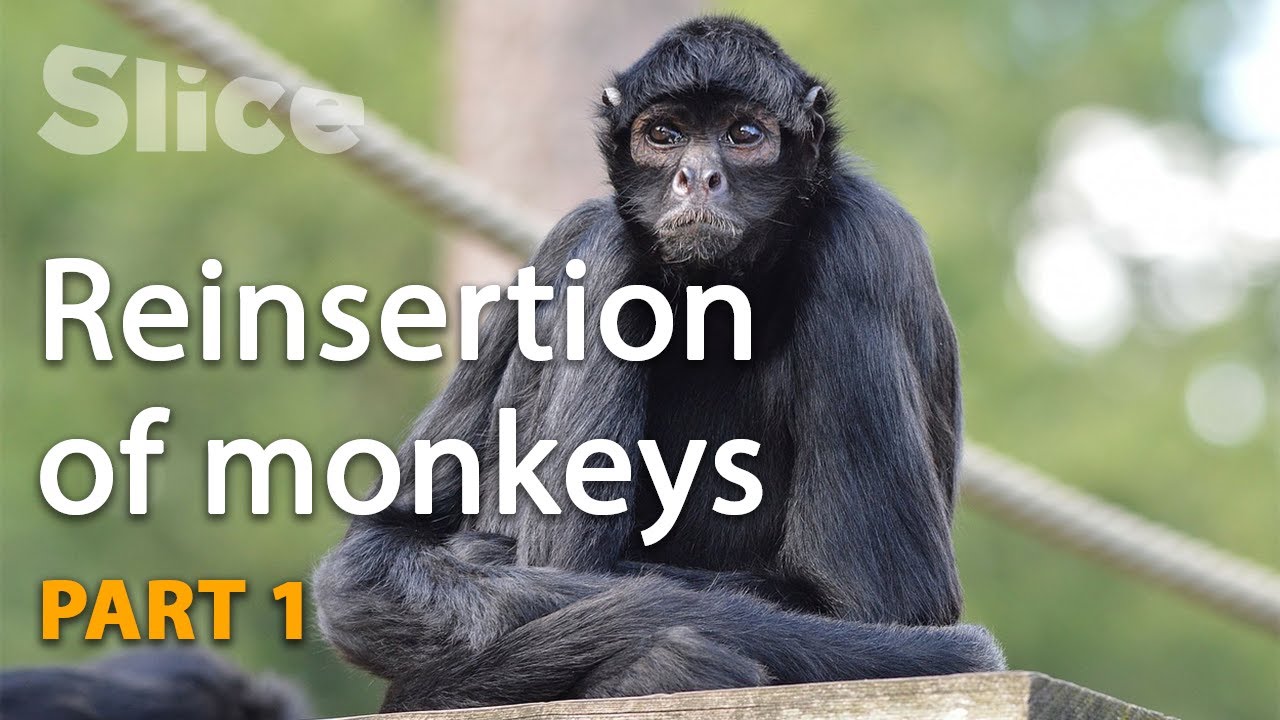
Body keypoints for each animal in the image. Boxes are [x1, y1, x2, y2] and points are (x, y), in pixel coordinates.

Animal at [313, 16, 1005, 712]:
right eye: (665, 135)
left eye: (744, 134)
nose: (696, 176)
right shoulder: (566, 234)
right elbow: (370, 561)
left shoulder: (863, 248)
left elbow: (883, 602)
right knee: (610, 247)